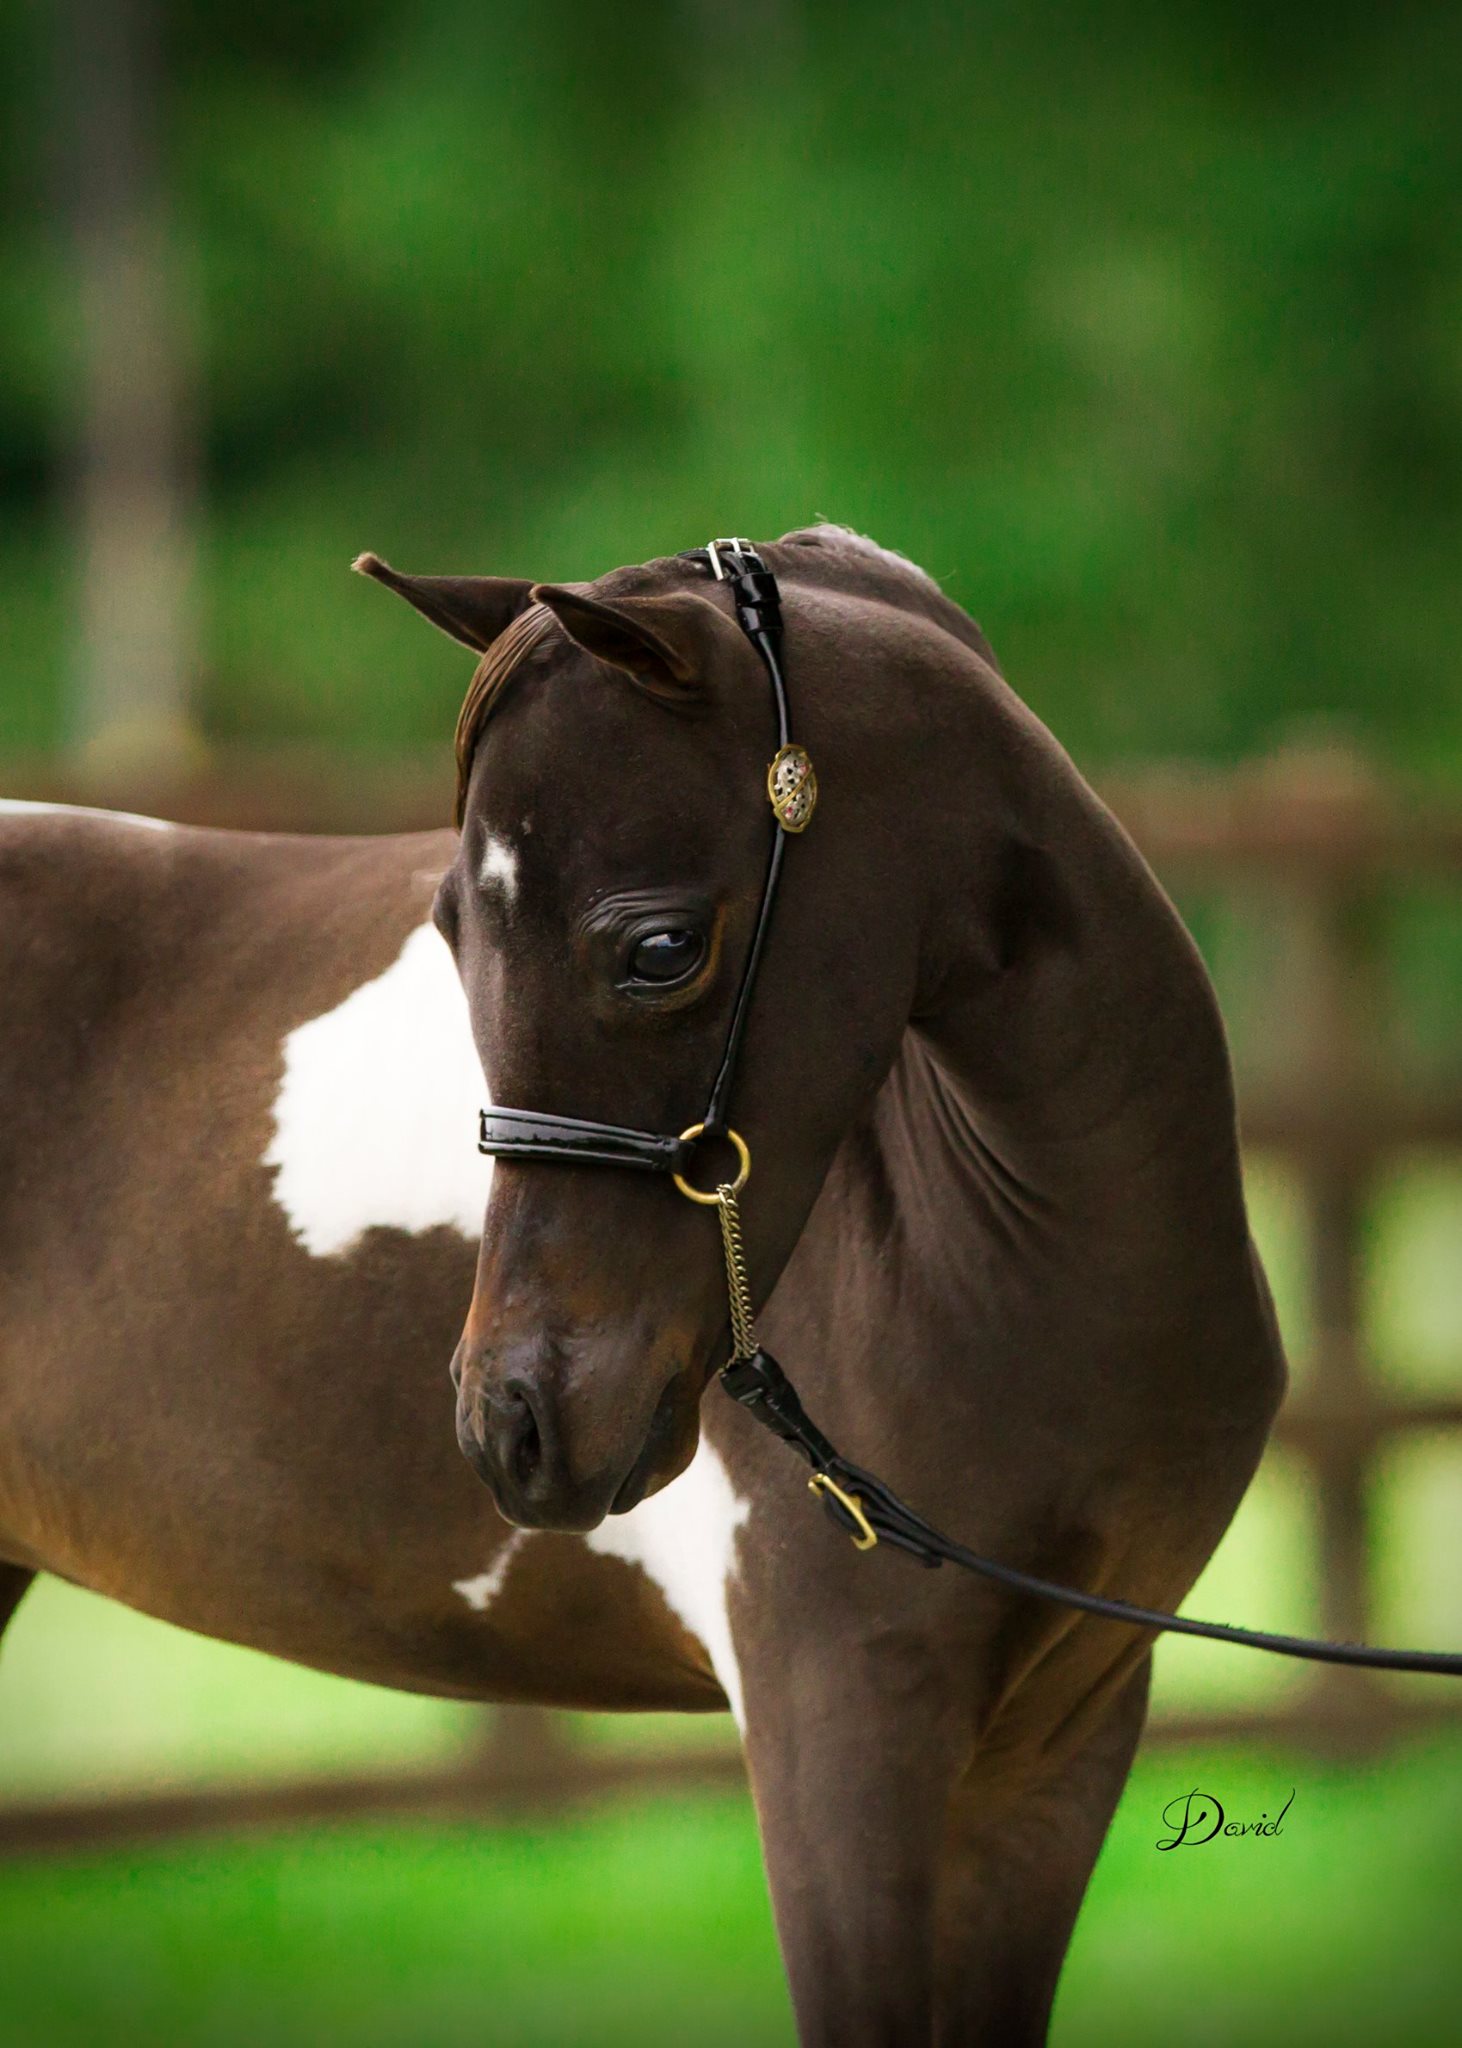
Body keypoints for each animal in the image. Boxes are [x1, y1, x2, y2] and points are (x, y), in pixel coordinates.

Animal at [0, 524, 1285, 2043]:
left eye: (658, 947)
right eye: (448, 930)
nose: (514, 1422)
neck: (1012, 1264)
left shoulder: (1052, 1750)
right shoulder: (840, 1739)